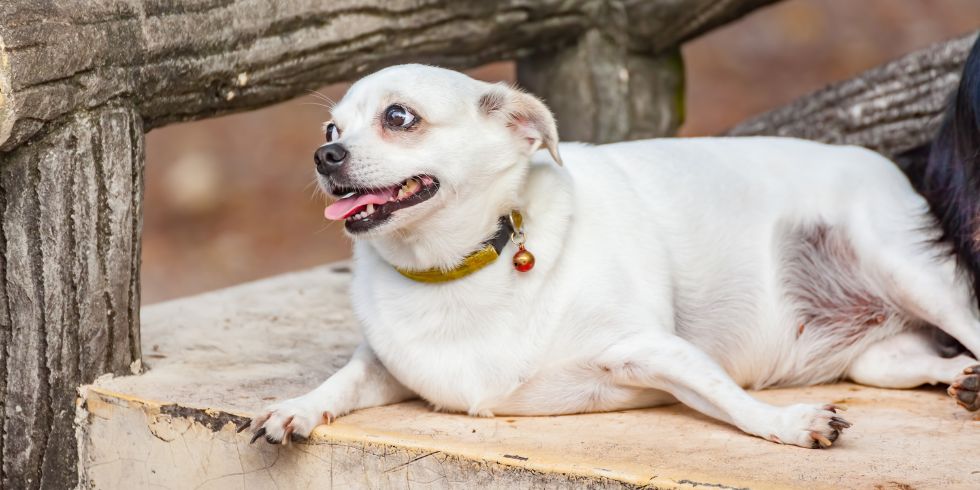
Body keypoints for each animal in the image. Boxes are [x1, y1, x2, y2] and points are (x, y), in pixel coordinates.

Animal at [249, 45, 980, 448]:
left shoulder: (653, 350)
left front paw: (790, 424)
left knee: (966, 327)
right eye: (330, 127)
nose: (324, 155)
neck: (462, 271)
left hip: (911, 272)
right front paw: (295, 409)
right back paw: (962, 382)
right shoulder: (384, 366)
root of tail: (884, 163)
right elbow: (342, 381)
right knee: (927, 359)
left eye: (399, 117)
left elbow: (734, 403)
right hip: (875, 361)